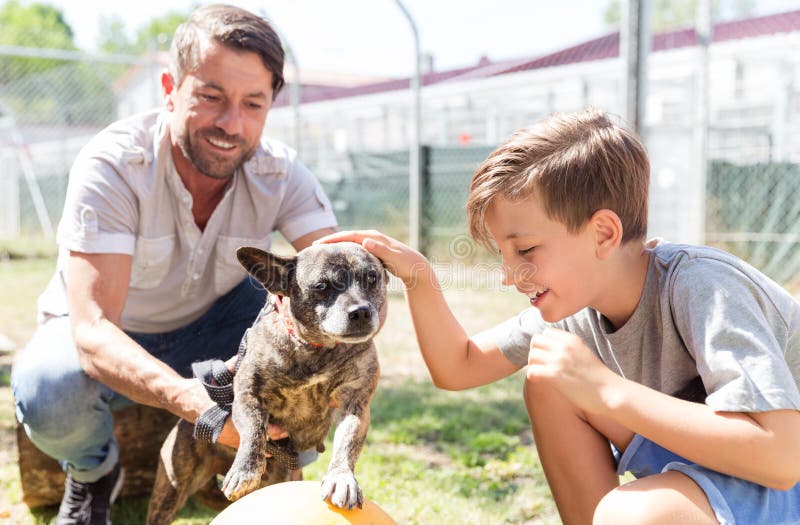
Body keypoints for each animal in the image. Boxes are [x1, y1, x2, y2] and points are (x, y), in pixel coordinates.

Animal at [148, 243, 390, 524]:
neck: (315, 349)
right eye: (321, 286)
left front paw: (342, 479)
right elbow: (254, 431)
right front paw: (245, 470)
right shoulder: (249, 396)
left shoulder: (355, 406)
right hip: (172, 488)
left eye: (372, 278)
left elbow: (347, 444)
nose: (361, 311)